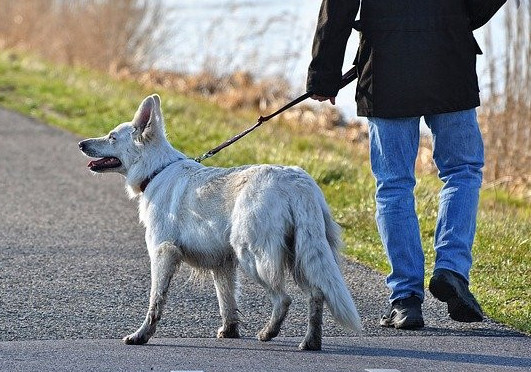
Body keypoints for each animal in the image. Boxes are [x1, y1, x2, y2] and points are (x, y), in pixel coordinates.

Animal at [79, 94, 362, 350]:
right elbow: (227, 302)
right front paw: (230, 331)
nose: (81, 143)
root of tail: (297, 182)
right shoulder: (222, 264)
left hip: (253, 256)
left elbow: (155, 302)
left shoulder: (163, 254)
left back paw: (269, 333)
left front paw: (141, 335)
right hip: (301, 255)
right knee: (316, 294)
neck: (156, 170)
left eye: (111, 137)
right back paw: (310, 342)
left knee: (284, 299)